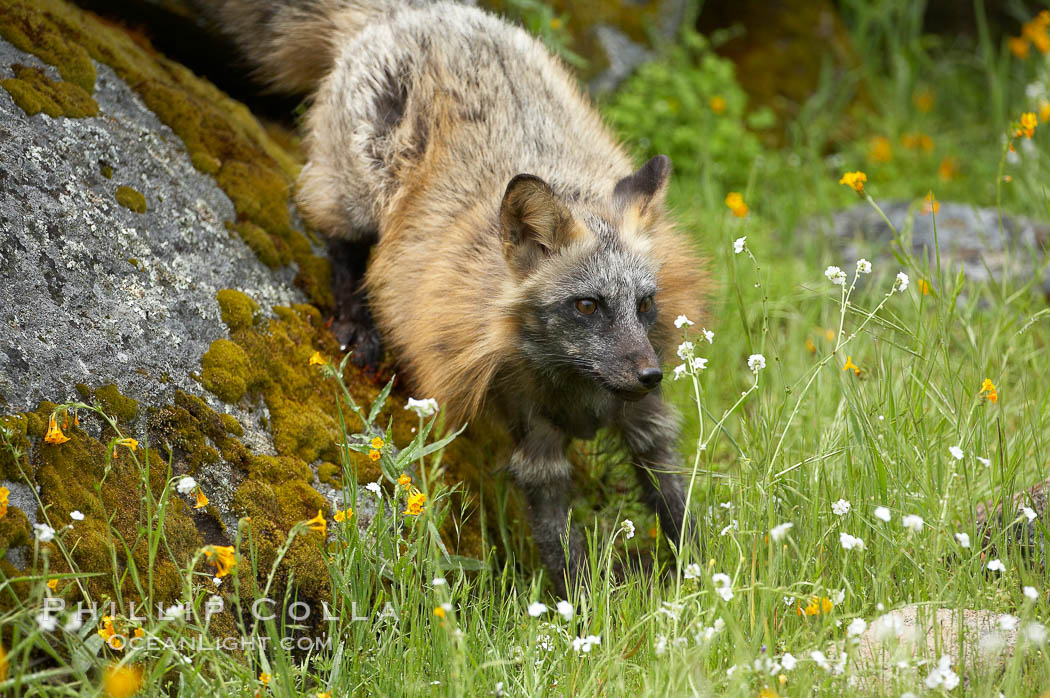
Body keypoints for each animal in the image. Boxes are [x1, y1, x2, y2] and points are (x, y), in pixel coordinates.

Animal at [202, 0, 713, 591]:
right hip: (360, 192)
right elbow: (562, 551)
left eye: (645, 303)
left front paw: (705, 580)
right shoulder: (531, 433)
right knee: (339, 238)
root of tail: (416, 10)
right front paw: (580, 606)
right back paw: (357, 321)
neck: (577, 393)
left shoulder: (647, 423)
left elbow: (676, 507)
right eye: (587, 306)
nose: (651, 373)